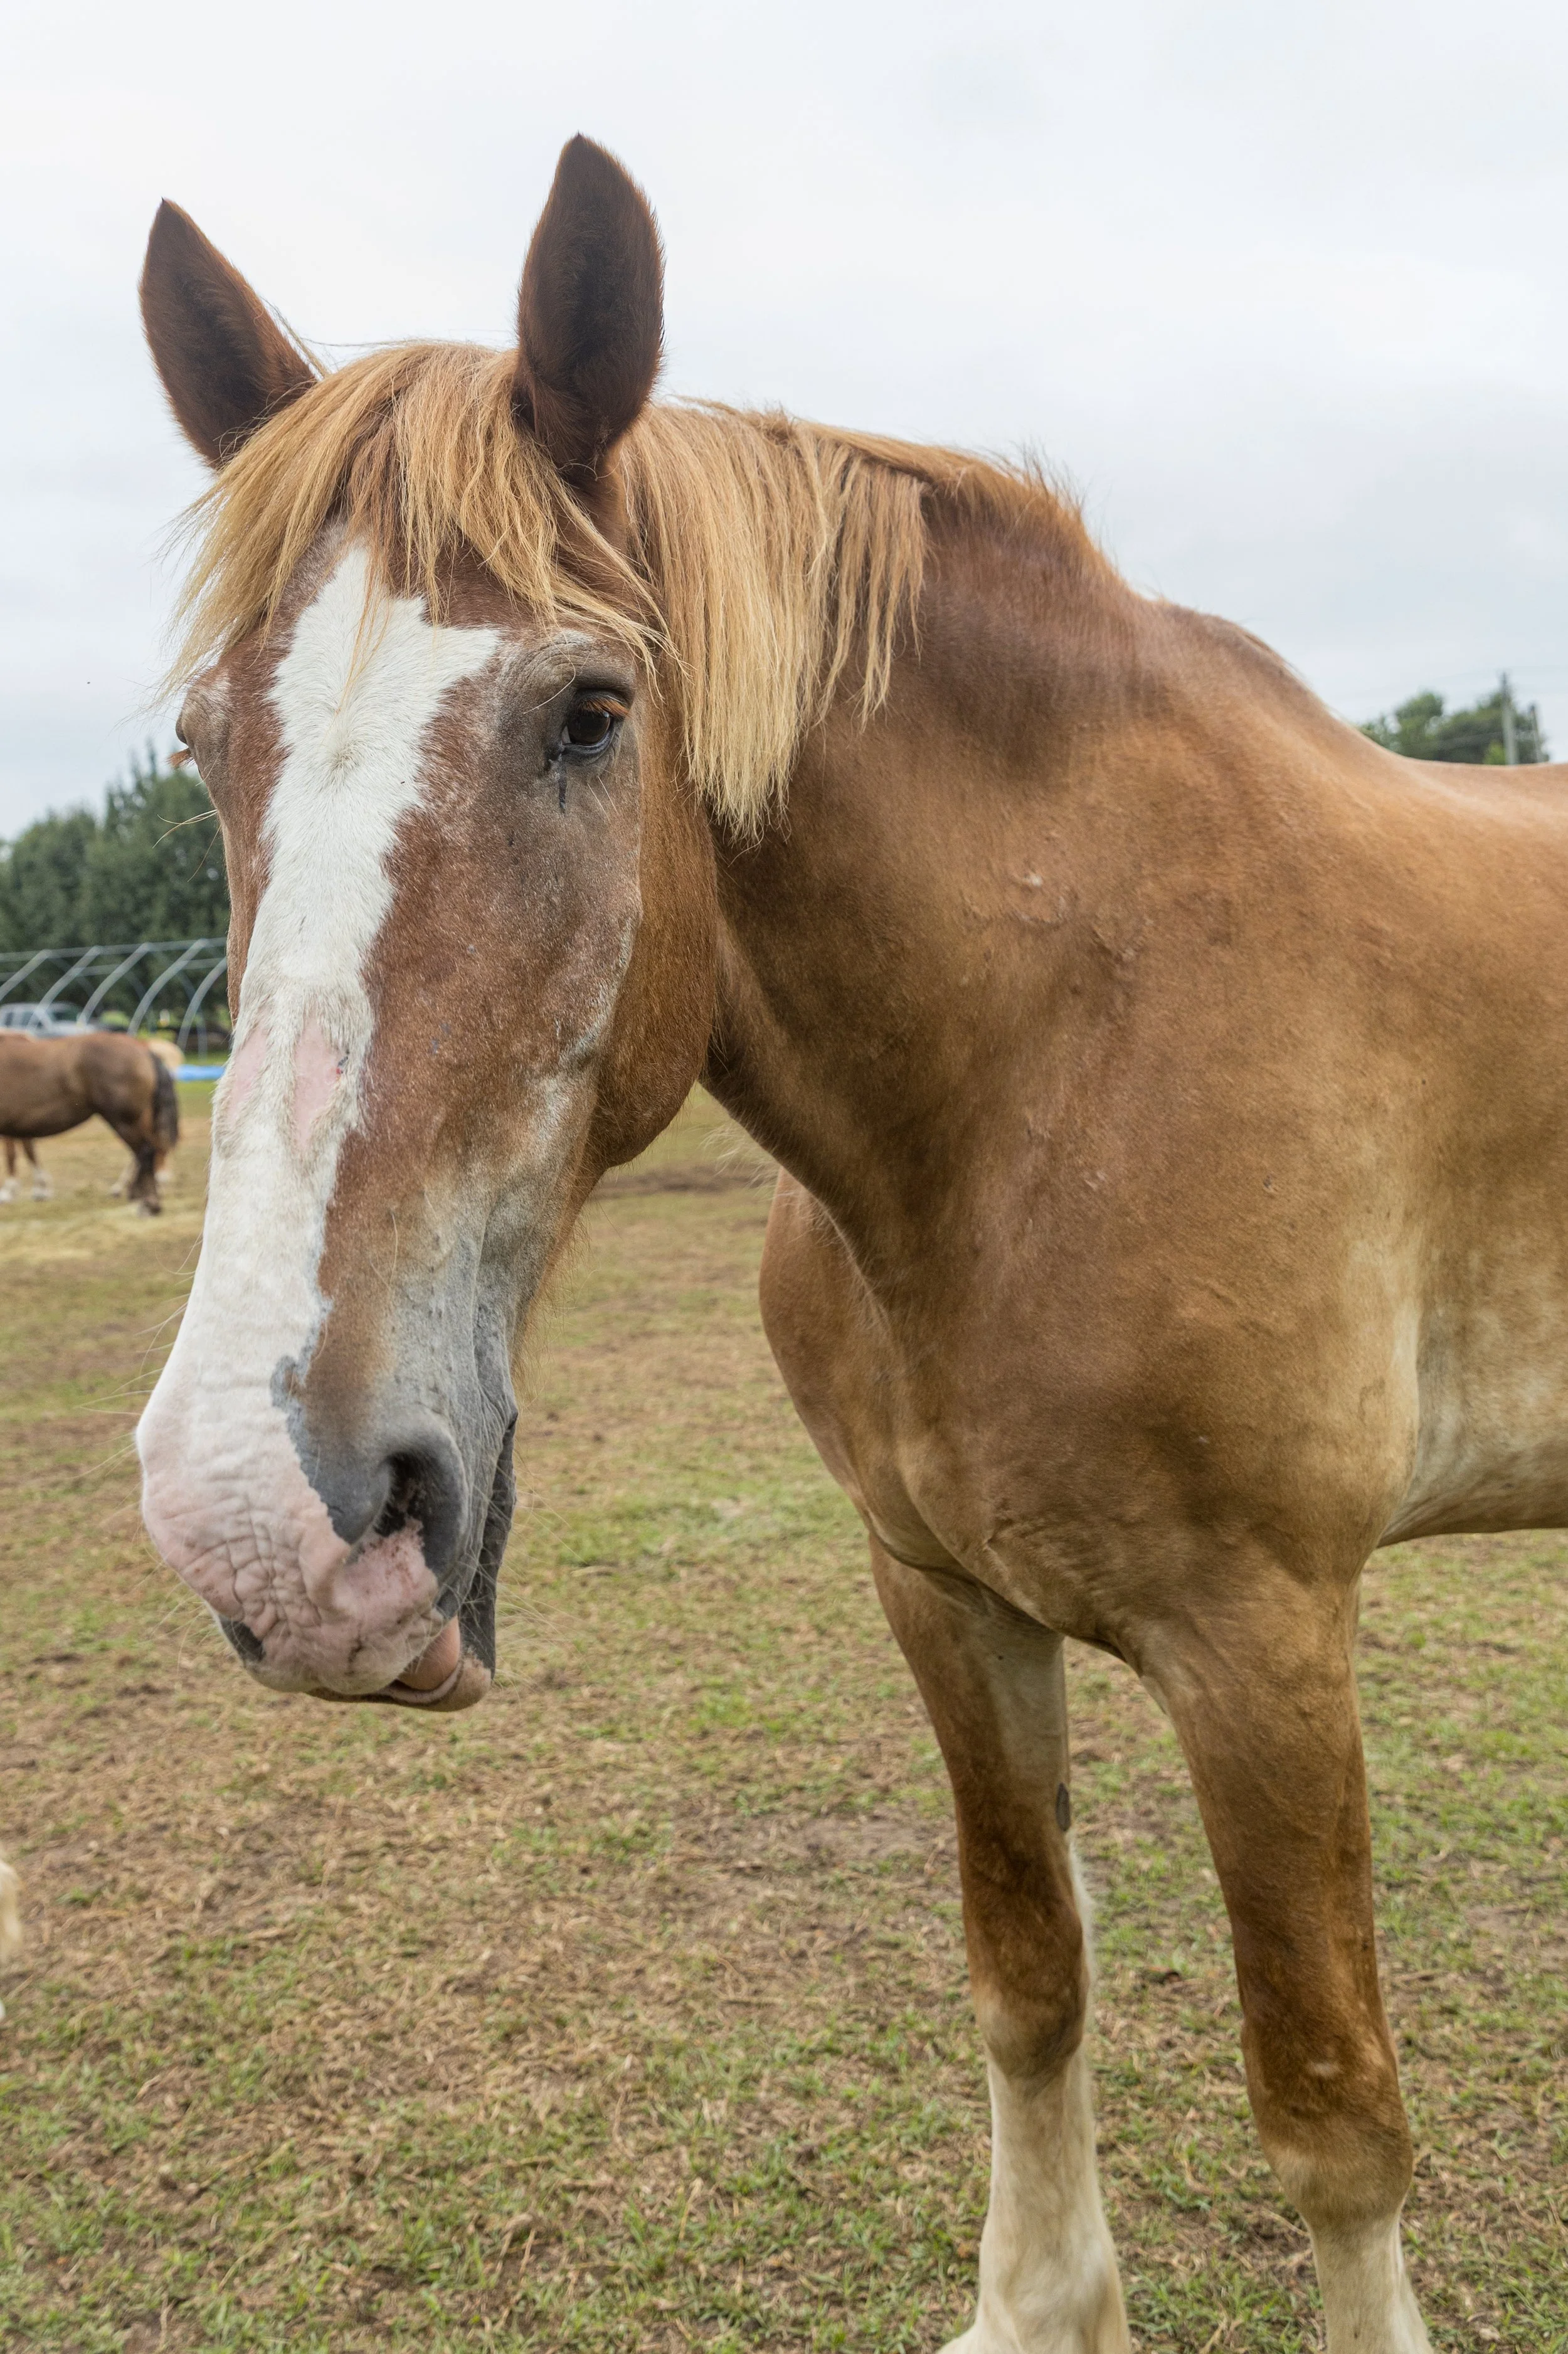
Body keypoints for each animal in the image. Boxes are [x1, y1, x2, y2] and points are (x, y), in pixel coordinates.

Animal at [0, 1032, 179, 1212]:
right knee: (149, 1151)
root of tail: (145, 1051)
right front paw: (39, 1190)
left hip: (125, 1121)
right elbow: (27, 1151)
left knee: (146, 1152)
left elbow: (13, 1155)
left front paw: (11, 1191)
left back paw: (147, 1201)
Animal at [129, 140, 1568, 2354]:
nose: (269, 1526)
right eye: (209, 744)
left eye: (590, 710)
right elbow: (1026, 1983)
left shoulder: (1264, 1646)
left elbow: (1332, 2120)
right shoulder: (939, 1597)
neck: (1061, 1045)